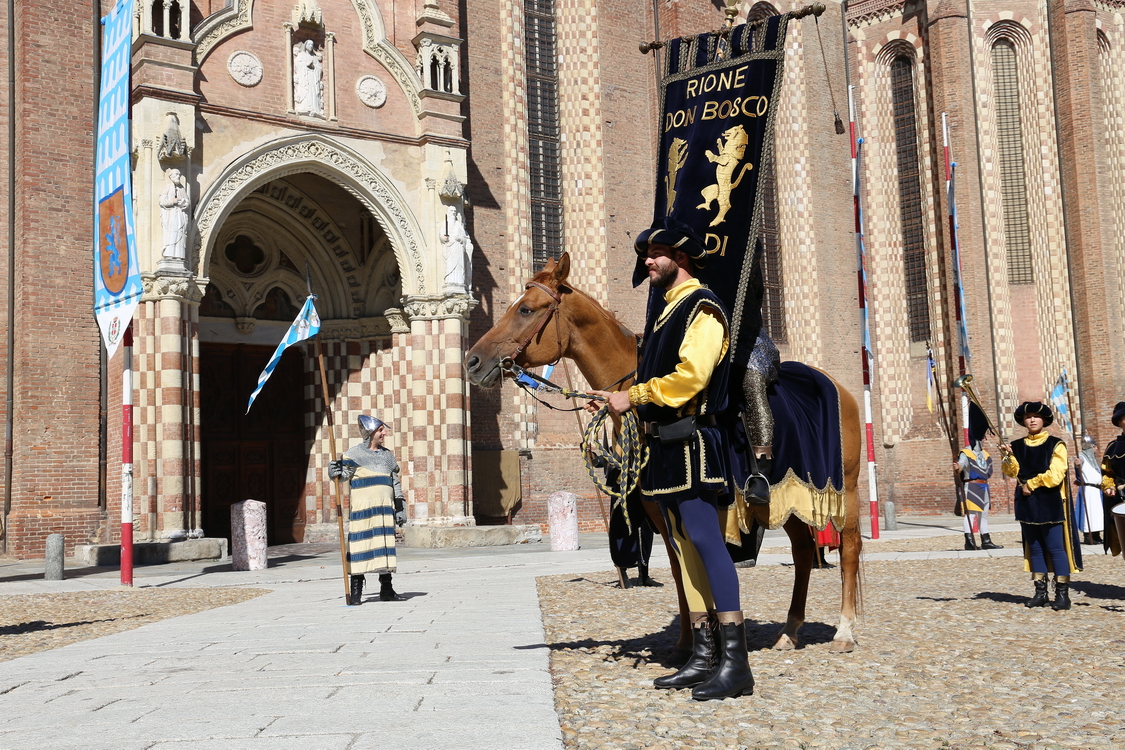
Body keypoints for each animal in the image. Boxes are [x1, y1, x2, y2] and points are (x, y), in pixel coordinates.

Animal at [465, 251, 859, 652]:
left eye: (526, 309)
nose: (472, 361)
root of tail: (841, 389)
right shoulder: (660, 508)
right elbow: (679, 569)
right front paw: (689, 641)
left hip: (848, 489)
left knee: (849, 549)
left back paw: (844, 630)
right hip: (788, 494)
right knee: (802, 552)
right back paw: (789, 632)